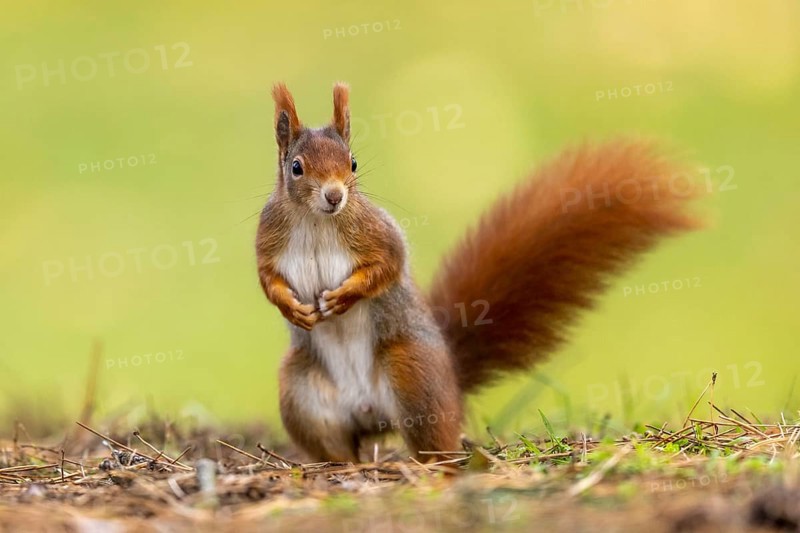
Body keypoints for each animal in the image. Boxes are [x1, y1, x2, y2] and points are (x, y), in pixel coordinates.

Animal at [255, 82, 701, 463]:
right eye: (296, 167)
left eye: (352, 163)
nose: (334, 196)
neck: (318, 222)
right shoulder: (267, 242)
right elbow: (267, 280)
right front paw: (292, 308)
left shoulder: (378, 234)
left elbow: (388, 265)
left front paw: (344, 296)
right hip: (303, 394)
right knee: (338, 447)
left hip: (413, 374)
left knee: (432, 442)